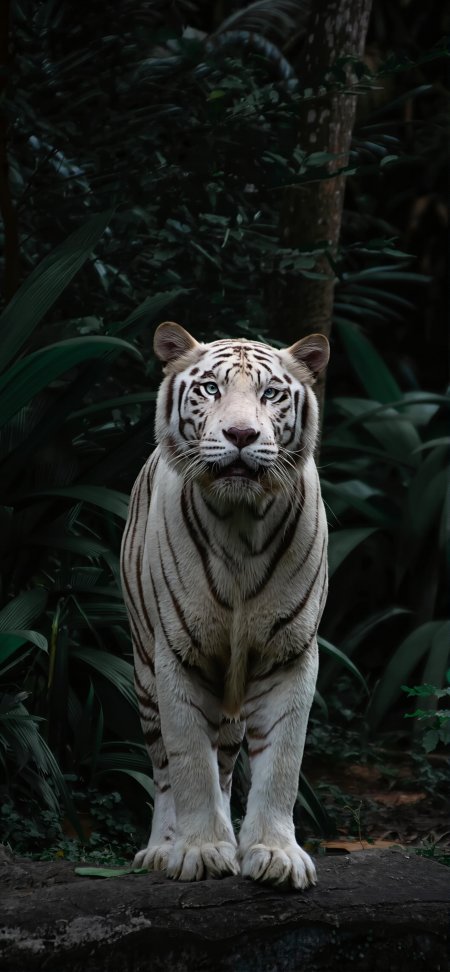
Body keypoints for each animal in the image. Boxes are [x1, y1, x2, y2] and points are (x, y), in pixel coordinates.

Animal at [120, 321, 329, 889]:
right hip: (143, 671)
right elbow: (190, 762)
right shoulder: (177, 655)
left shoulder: (289, 654)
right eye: (211, 388)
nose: (240, 435)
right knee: (164, 768)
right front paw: (200, 850)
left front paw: (275, 853)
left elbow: (281, 762)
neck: (240, 524)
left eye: (271, 393)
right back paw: (161, 849)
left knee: (229, 759)